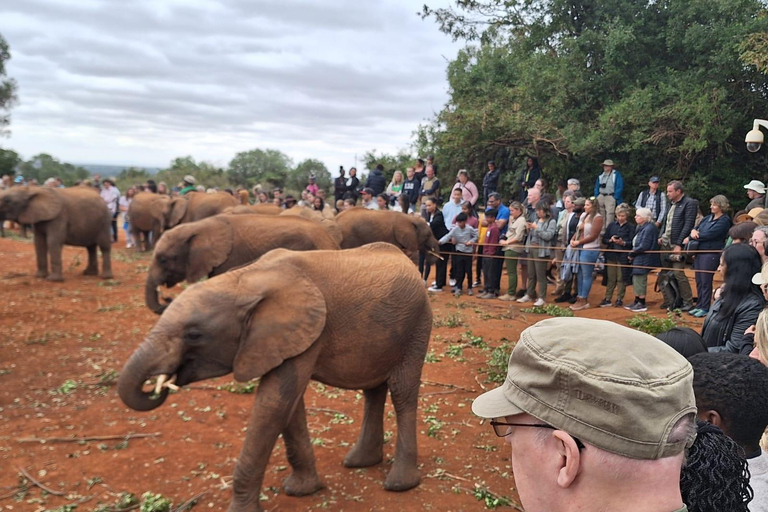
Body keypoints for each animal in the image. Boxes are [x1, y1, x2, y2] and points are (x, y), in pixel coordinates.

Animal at [118, 243, 432, 512]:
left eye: (194, 335)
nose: (160, 384)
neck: (244, 279)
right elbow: (288, 405)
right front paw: (302, 491)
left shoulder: (307, 329)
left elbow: (273, 404)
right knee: (373, 390)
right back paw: (360, 462)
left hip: (417, 326)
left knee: (402, 393)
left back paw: (399, 484)